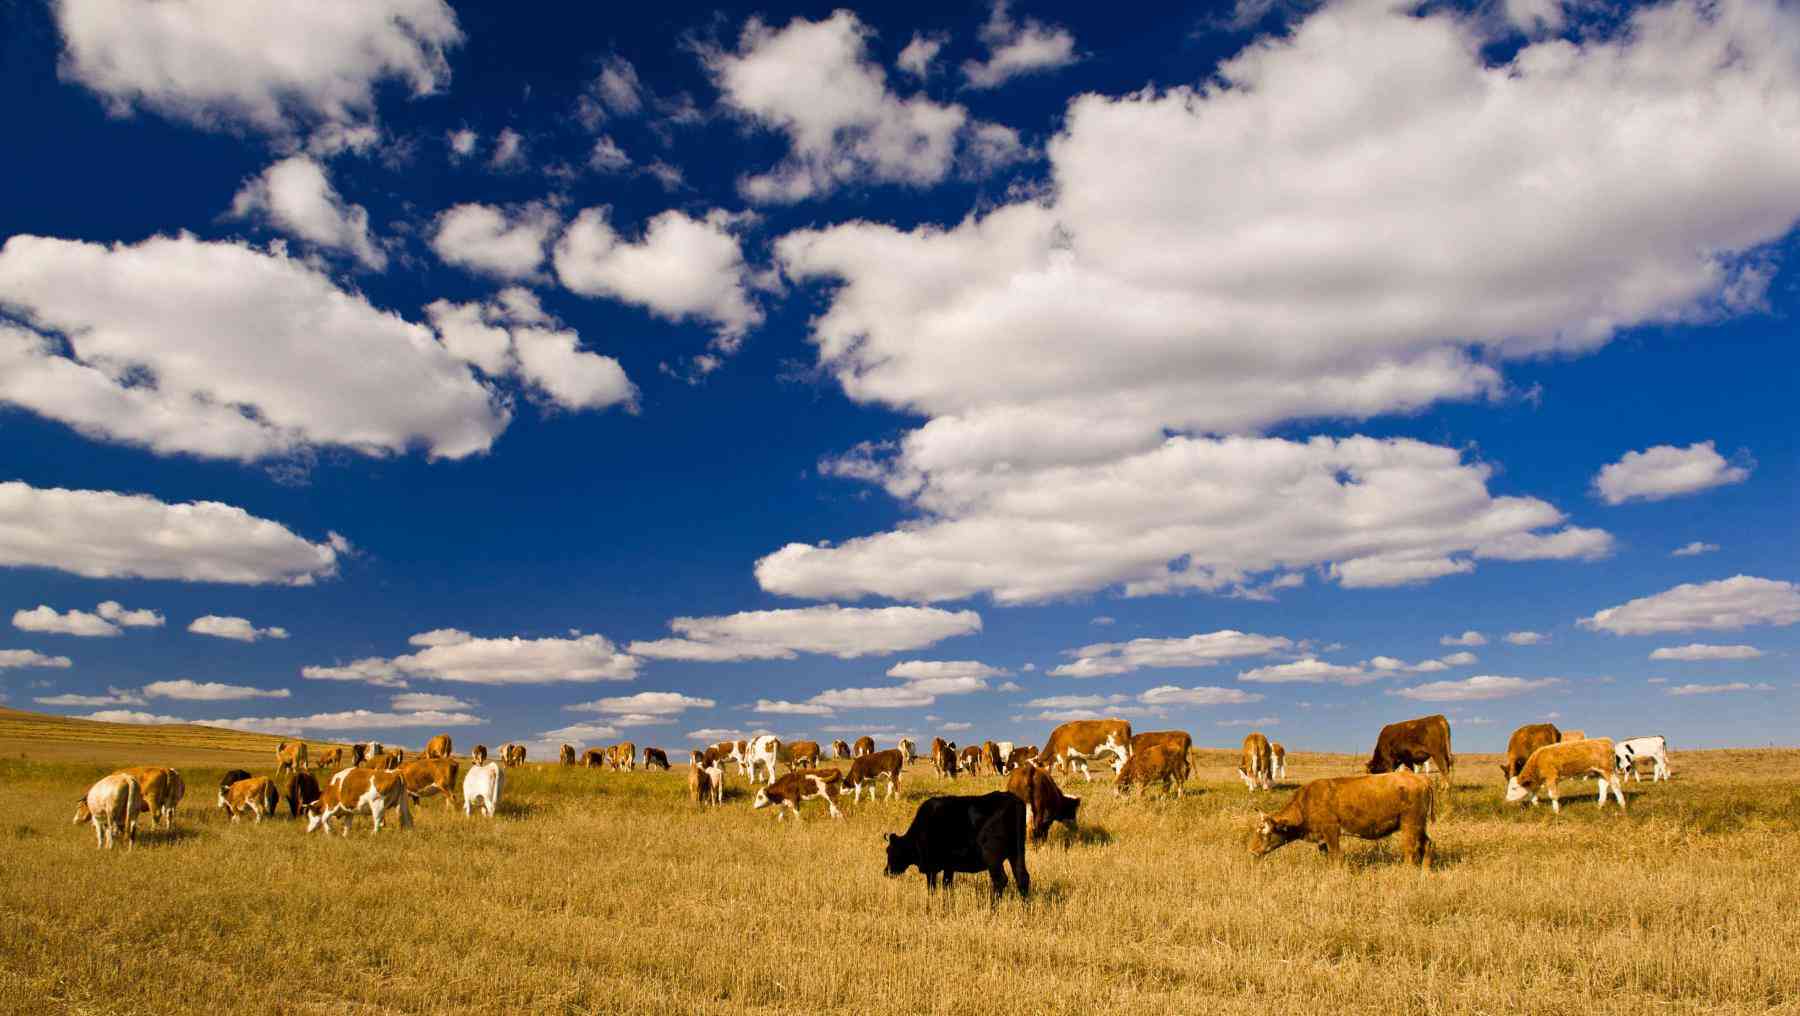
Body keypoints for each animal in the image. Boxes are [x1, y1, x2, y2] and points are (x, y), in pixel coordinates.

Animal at [882, 789, 1029, 900]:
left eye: (890, 851)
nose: (886, 872)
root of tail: (1014, 801)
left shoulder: (931, 867)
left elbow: (932, 889)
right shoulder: (949, 866)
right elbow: (947, 886)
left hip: (993, 857)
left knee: (1000, 880)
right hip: (1017, 852)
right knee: (1022, 878)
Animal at [1252, 774, 1432, 868]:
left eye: (1265, 832)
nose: (1252, 851)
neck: (1305, 803)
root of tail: (1421, 778)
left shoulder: (1331, 831)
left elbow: (1336, 854)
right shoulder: (1322, 838)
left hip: (1409, 825)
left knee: (1410, 850)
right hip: (1419, 826)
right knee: (1427, 843)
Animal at [1497, 734, 1627, 814]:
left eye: (1514, 788)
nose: (1507, 799)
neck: (1538, 760)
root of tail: (1606, 741)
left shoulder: (1551, 778)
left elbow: (1553, 795)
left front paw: (1556, 811)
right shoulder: (1539, 781)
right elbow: (1533, 794)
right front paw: (1537, 806)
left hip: (1607, 770)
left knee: (1615, 785)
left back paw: (1622, 805)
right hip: (1599, 772)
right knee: (1603, 786)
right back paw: (1599, 806)